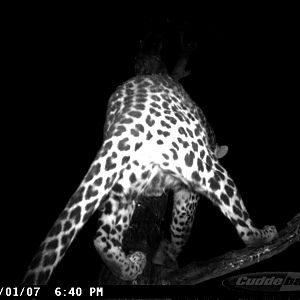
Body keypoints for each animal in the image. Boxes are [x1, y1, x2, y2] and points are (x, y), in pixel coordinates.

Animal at [22, 72, 276, 284]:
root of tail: (130, 112)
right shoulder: (188, 193)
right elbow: (181, 226)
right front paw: (168, 256)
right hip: (201, 163)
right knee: (242, 224)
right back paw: (263, 234)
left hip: (123, 180)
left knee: (103, 238)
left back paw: (131, 265)